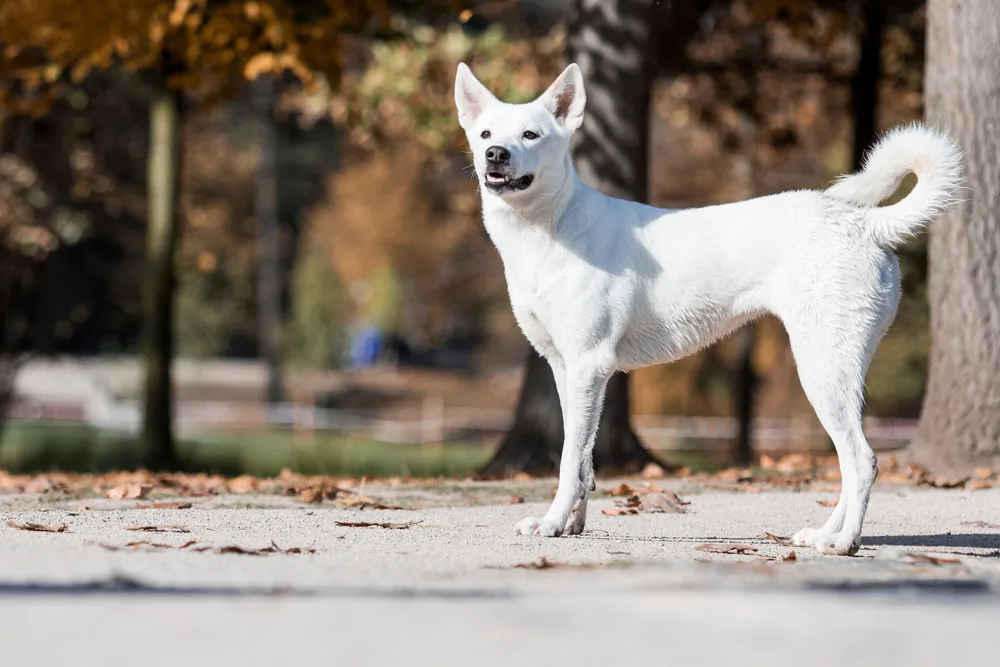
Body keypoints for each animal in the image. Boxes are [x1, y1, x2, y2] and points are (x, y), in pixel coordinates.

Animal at [458, 62, 964, 556]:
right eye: (485, 134)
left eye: (531, 135)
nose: (495, 155)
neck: (551, 226)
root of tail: (865, 223)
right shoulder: (566, 370)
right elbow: (581, 459)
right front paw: (571, 525)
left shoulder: (588, 365)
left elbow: (568, 462)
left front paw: (551, 524)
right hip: (837, 372)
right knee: (848, 461)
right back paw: (824, 533)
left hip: (822, 370)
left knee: (862, 460)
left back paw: (841, 543)